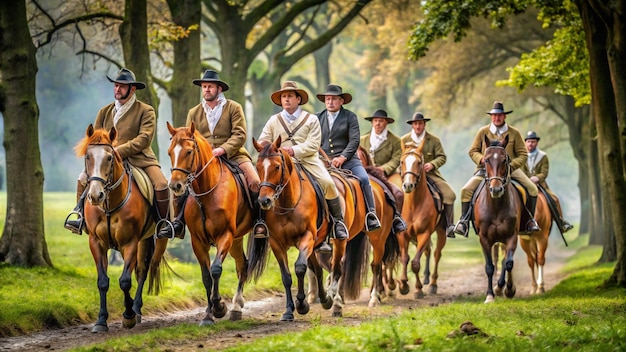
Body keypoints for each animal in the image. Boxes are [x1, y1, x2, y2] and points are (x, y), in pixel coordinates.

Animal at [75, 126, 167, 332]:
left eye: (110, 157)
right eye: (87, 156)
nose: (95, 195)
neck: (110, 204)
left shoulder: (130, 242)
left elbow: (125, 281)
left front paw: (128, 316)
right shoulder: (96, 242)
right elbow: (103, 281)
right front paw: (101, 320)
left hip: (145, 240)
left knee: (141, 271)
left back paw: (136, 309)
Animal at [167, 122, 255, 326]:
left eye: (189, 152)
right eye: (169, 152)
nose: (175, 186)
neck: (207, 194)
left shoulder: (225, 236)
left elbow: (215, 270)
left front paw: (219, 307)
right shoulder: (198, 242)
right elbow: (206, 276)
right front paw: (208, 314)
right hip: (236, 240)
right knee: (242, 266)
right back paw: (236, 306)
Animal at [247, 135, 332, 322]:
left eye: (277, 166)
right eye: (258, 166)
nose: (264, 201)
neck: (288, 203)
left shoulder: (307, 237)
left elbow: (299, 267)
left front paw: (302, 304)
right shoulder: (276, 243)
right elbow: (286, 276)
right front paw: (288, 310)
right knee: (316, 268)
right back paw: (324, 299)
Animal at [394, 143, 444, 300]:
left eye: (419, 162)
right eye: (401, 162)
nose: (408, 185)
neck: (414, 205)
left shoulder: (424, 233)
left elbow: (415, 264)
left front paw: (418, 289)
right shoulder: (402, 235)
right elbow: (405, 258)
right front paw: (403, 285)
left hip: (441, 232)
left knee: (436, 254)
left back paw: (433, 284)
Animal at [472, 135, 520, 302]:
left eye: (504, 160)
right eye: (486, 160)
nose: (496, 189)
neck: (496, 206)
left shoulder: (512, 236)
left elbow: (509, 263)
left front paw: (509, 289)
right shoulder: (484, 239)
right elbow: (489, 267)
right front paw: (489, 295)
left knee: (505, 261)